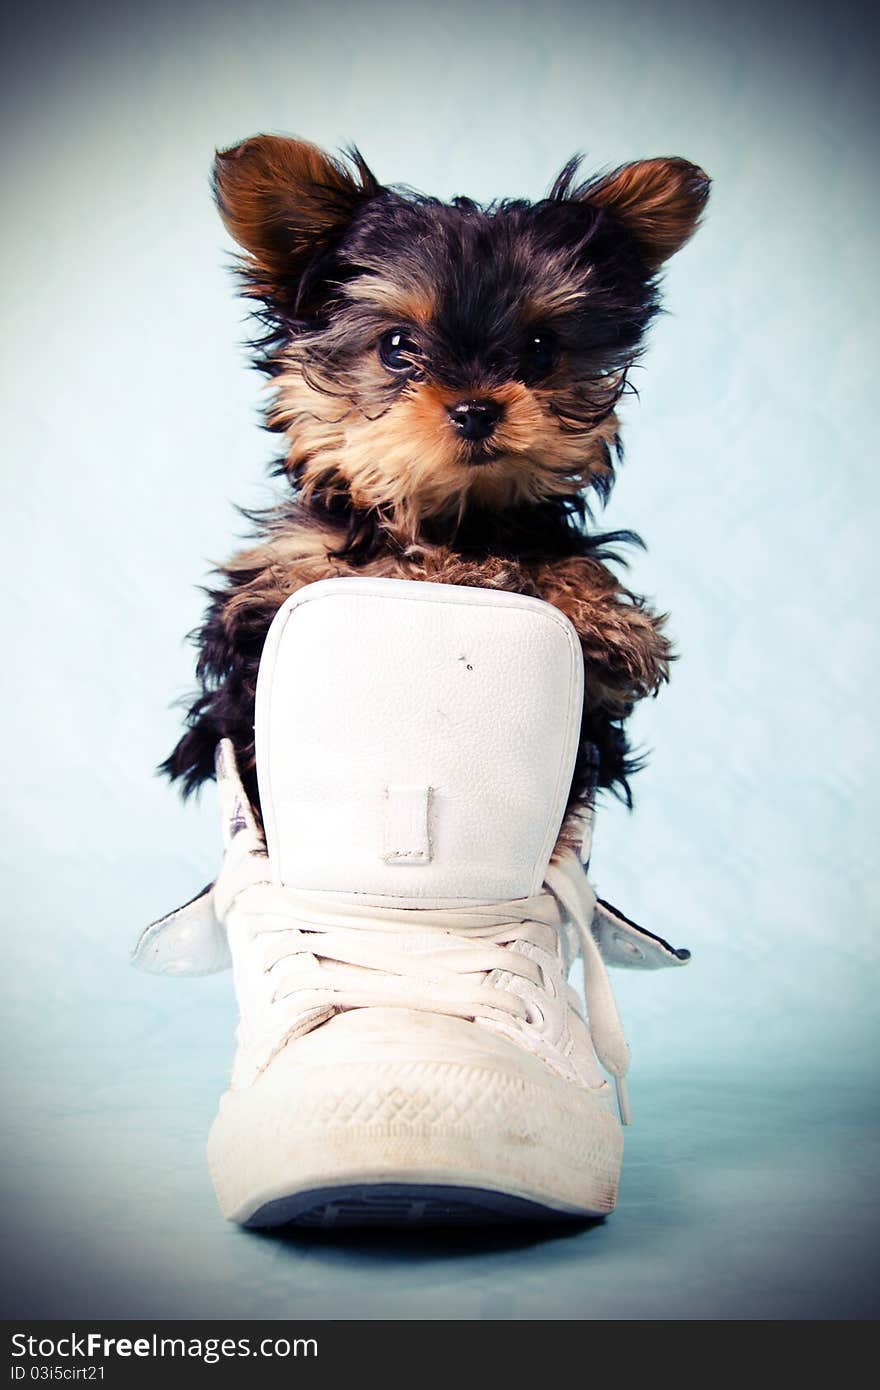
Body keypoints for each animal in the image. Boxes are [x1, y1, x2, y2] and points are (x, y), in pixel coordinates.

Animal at [163, 132, 706, 822]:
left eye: (540, 348)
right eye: (397, 347)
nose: (476, 409)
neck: (457, 513)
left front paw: (603, 615)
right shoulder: (271, 596)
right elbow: (384, 563)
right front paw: (467, 570)